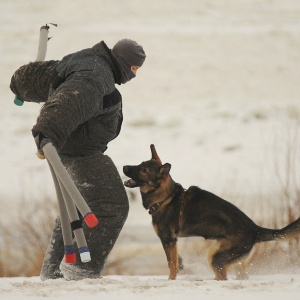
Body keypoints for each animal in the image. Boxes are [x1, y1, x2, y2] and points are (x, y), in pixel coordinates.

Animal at [123, 145, 300, 282]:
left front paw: (170, 281)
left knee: (222, 277)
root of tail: (255, 229)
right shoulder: (173, 242)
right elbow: (176, 260)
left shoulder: (168, 239)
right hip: (230, 258)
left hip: (215, 257)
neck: (166, 197)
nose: (124, 167)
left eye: (144, 170)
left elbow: (171, 264)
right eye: (140, 164)